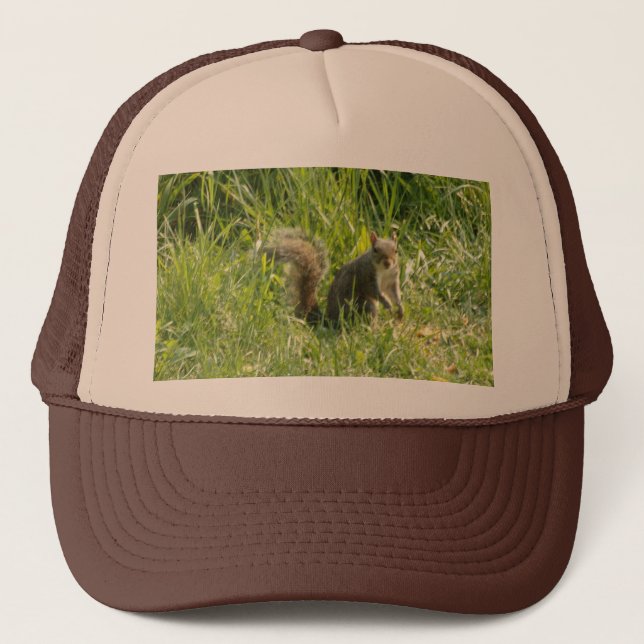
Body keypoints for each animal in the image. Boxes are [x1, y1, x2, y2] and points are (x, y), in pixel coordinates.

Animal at [263, 228, 404, 325]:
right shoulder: (366, 276)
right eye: (375, 250)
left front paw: (400, 308)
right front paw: (388, 304)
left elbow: (395, 293)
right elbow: (375, 292)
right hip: (363, 305)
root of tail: (330, 320)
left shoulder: (392, 279)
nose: (387, 263)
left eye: (396, 250)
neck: (384, 271)